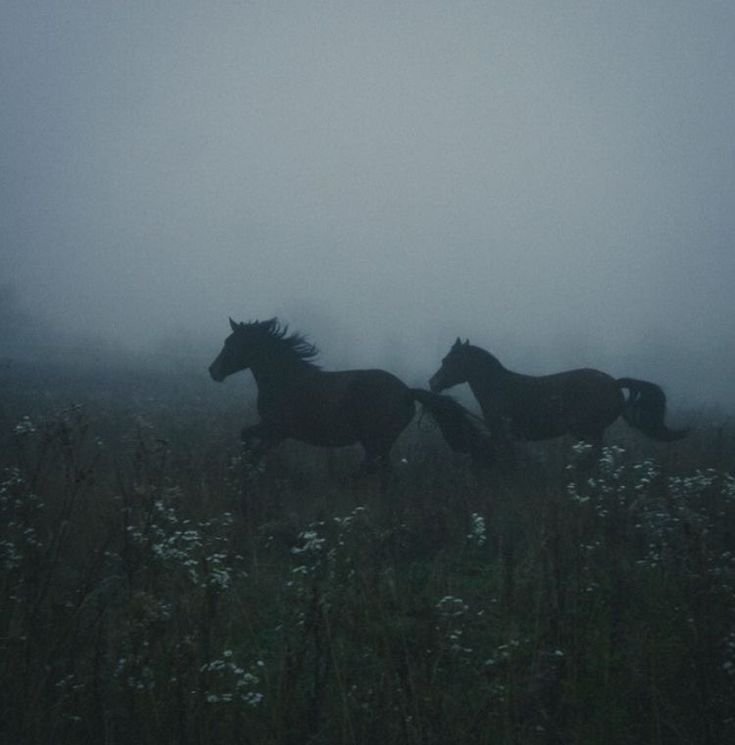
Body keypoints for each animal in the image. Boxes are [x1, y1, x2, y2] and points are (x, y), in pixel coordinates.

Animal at [208, 318, 494, 470]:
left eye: (232, 344)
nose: (213, 371)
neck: (287, 380)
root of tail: (405, 391)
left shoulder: (277, 429)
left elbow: (250, 442)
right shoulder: (274, 431)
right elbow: (248, 438)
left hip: (376, 439)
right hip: (379, 442)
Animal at [428, 338, 688, 460]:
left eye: (448, 361)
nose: (433, 383)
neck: (498, 387)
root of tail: (614, 383)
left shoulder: (501, 432)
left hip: (588, 431)